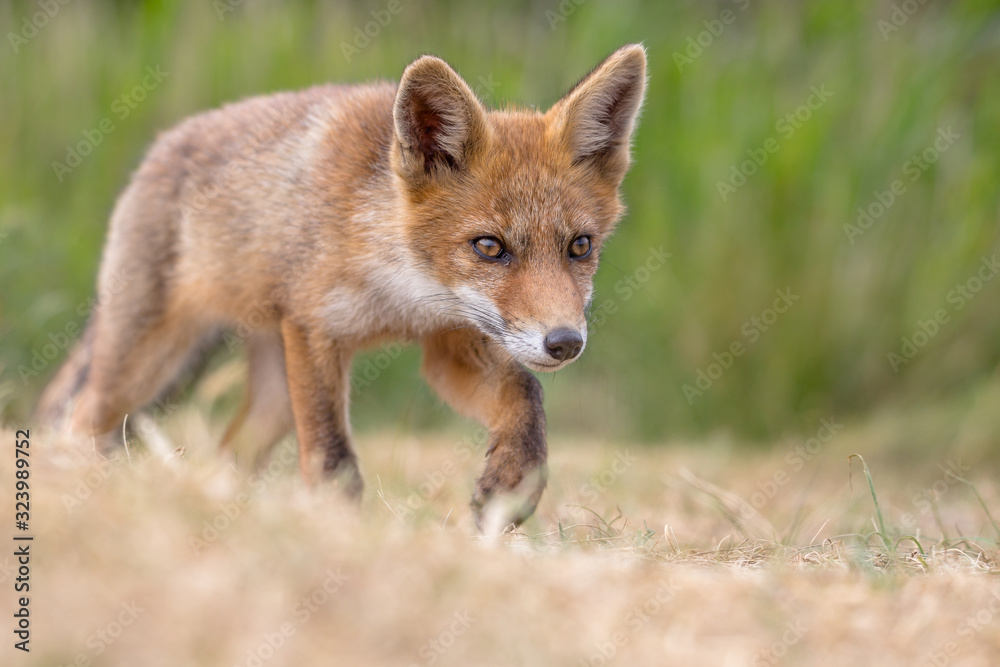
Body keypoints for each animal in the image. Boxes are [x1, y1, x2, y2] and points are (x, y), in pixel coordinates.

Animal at [37, 44, 647, 530]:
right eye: (490, 247)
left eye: (580, 246)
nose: (565, 342)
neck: (399, 291)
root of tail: (162, 144)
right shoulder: (315, 331)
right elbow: (333, 461)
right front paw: (342, 533)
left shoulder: (448, 341)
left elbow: (525, 396)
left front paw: (511, 483)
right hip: (146, 360)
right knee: (79, 420)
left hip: (273, 394)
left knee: (230, 452)